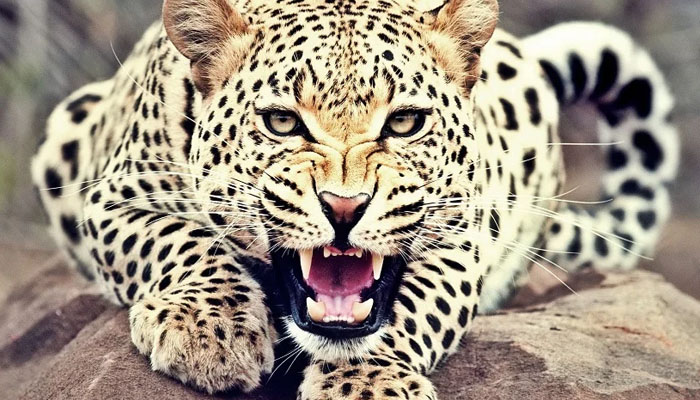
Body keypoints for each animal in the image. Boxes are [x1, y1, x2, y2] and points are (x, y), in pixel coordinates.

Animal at [31, 0, 679, 398]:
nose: (344, 208)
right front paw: (209, 330)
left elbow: (413, 307)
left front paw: (364, 384)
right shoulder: (110, 198)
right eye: (282, 122)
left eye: (406, 122)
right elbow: (181, 241)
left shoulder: (461, 234)